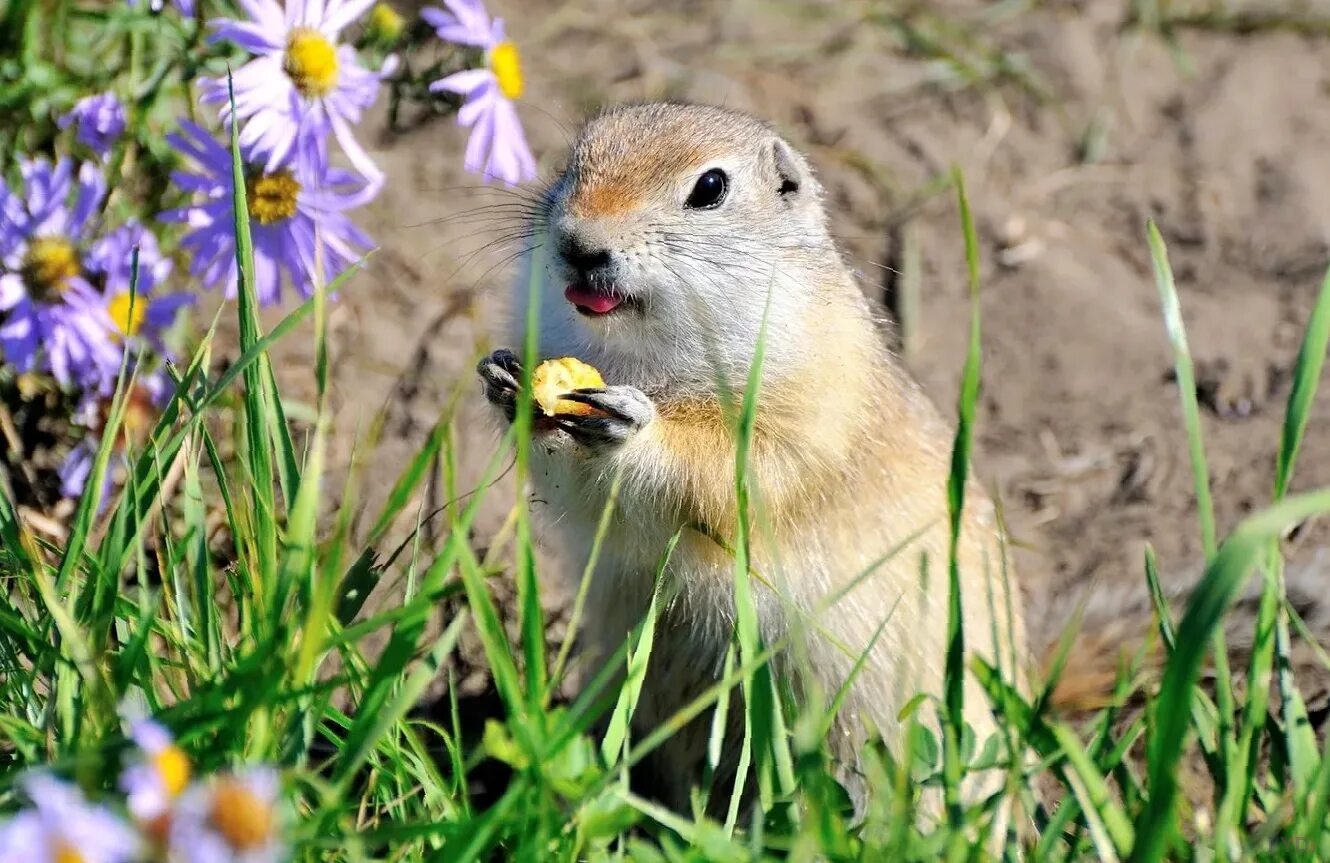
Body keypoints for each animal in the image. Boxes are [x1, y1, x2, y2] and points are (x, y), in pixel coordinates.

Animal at [478, 101, 1026, 808]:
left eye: (710, 187)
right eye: (576, 157)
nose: (577, 244)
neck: (638, 351)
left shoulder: (815, 401)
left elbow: (737, 473)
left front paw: (632, 424)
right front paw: (504, 380)